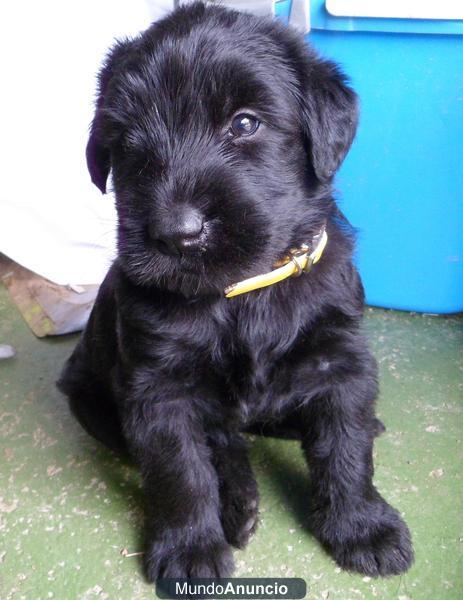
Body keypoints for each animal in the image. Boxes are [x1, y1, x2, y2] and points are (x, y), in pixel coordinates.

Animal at [58, 0, 414, 580]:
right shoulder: (160, 388)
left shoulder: (339, 361)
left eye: (245, 123)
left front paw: (363, 525)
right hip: (92, 400)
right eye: (126, 140)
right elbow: (182, 471)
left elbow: (346, 444)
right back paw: (237, 498)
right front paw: (190, 550)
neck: (243, 290)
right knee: (219, 438)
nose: (177, 232)